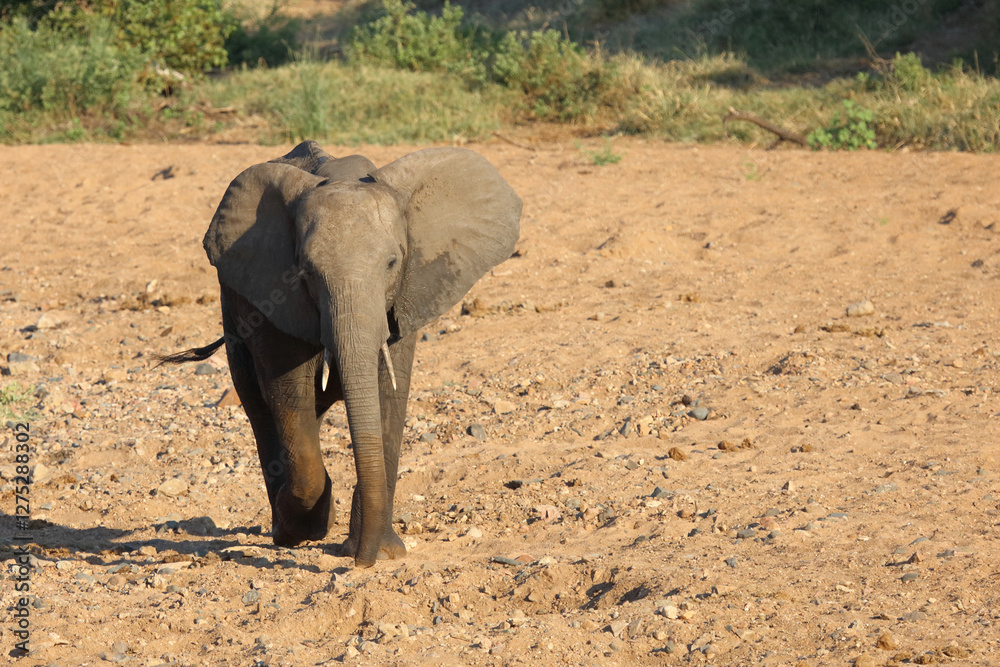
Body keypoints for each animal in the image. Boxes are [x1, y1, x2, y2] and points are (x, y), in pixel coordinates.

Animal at [158, 141, 521, 567]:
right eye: (307, 272)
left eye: (393, 262)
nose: (360, 562)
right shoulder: (272, 289)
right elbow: (287, 386)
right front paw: (311, 529)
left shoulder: (406, 294)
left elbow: (389, 393)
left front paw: (383, 551)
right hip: (232, 311)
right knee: (259, 406)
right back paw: (288, 527)